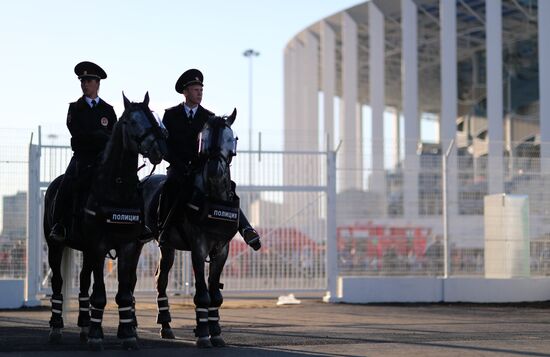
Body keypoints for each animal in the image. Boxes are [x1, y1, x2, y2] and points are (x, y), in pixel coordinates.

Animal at [42, 93, 167, 350]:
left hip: (86, 250)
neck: (116, 185)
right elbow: (99, 294)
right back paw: (57, 328)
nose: (159, 150)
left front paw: (128, 333)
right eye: (130, 121)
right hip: (55, 245)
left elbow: (125, 293)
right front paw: (97, 336)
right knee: (58, 283)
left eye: (152, 118)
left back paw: (83, 325)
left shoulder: (127, 246)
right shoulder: (99, 246)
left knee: (82, 281)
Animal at [138, 109, 239, 348]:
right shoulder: (198, 248)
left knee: (160, 278)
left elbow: (215, 294)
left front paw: (216, 332)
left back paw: (166, 325)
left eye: (230, 138)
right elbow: (202, 293)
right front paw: (203, 334)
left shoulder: (222, 250)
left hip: (167, 247)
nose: (214, 170)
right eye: (203, 139)